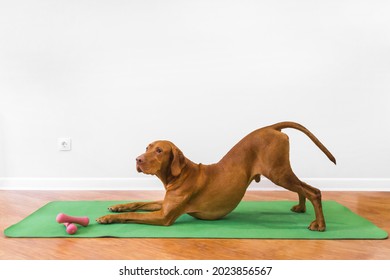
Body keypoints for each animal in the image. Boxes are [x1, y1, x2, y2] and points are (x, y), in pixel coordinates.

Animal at [96, 121, 336, 231]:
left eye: (159, 151)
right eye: (147, 147)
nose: (137, 159)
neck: (179, 175)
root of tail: (272, 127)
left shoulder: (164, 217)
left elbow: (134, 215)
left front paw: (107, 218)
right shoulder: (164, 204)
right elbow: (138, 203)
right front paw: (117, 206)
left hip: (278, 173)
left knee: (314, 191)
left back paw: (320, 225)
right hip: (281, 171)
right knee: (304, 188)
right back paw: (301, 208)